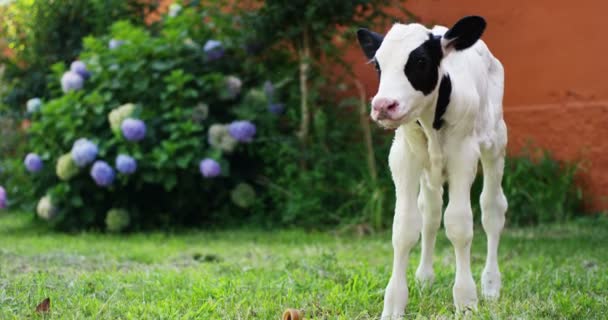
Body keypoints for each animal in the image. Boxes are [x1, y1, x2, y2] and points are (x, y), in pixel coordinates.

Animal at [356, 15, 508, 318]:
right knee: (430, 213)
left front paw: (466, 300)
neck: (430, 119)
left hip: (496, 142)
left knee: (492, 211)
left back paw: (491, 285)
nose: (383, 105)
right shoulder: (403, 156)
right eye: (378, 65)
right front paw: (394, 303)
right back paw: (425, 278)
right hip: (429, 170)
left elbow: (459, 225)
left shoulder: (464, 155)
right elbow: (404, 228)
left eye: (421, 60)